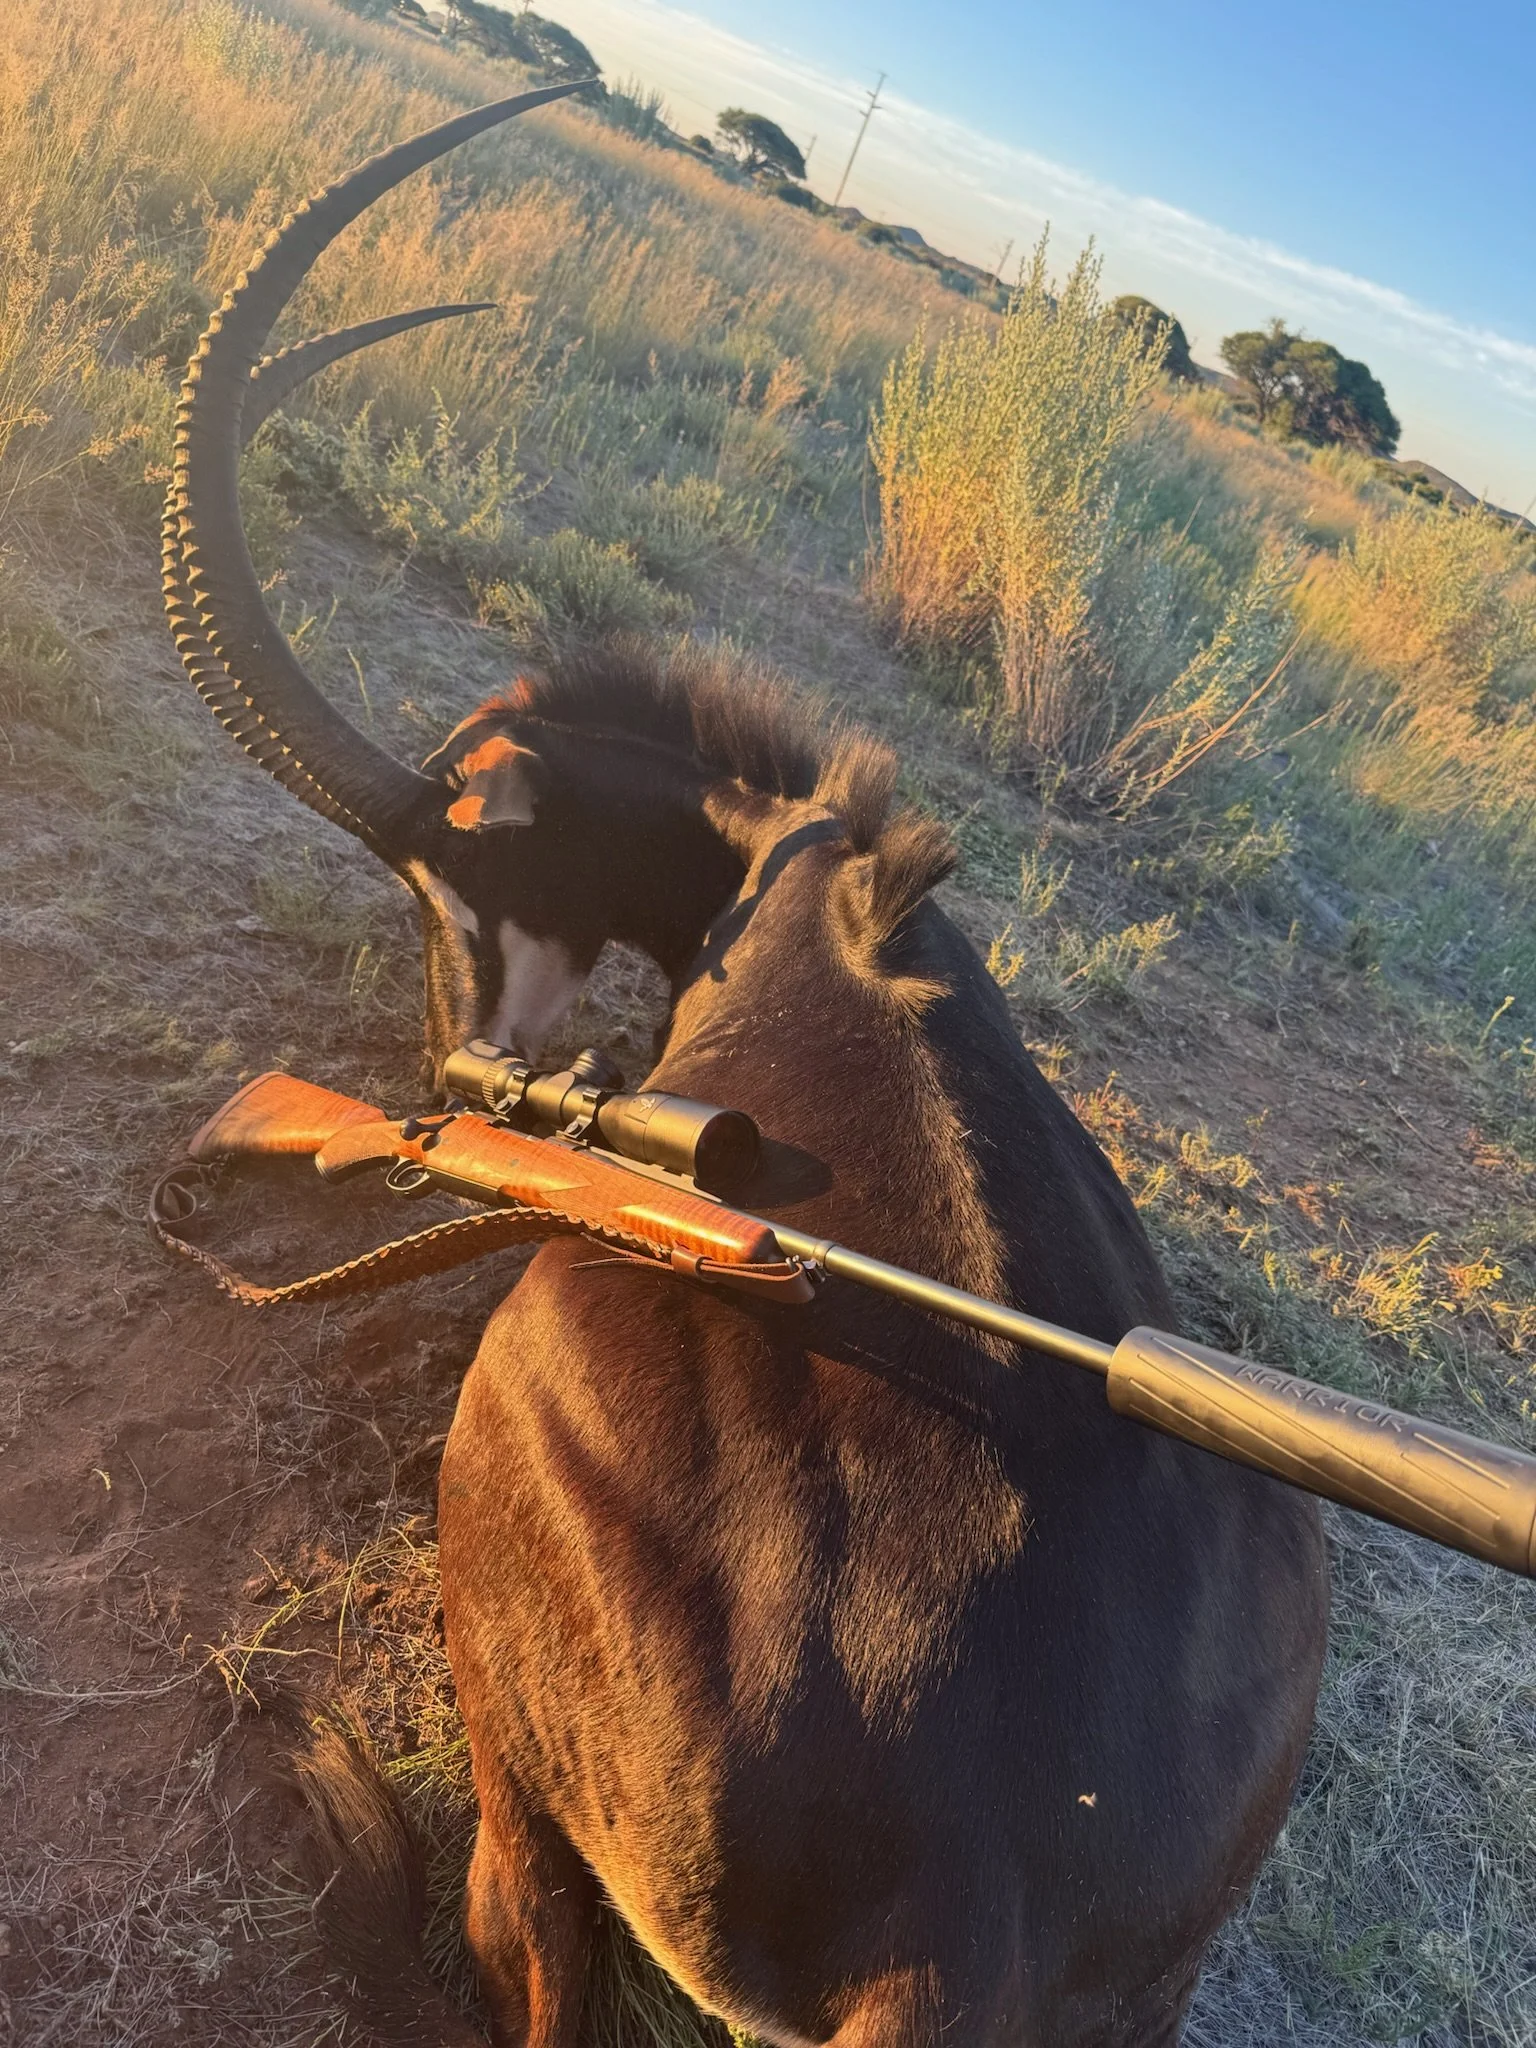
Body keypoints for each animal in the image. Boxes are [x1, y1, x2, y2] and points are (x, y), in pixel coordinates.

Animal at [164, 87, 1327, 2048]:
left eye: (451, 877)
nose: (457, 1071)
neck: (793, 862)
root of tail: (960, 1917)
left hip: (512, 1680)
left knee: (526, 1941)